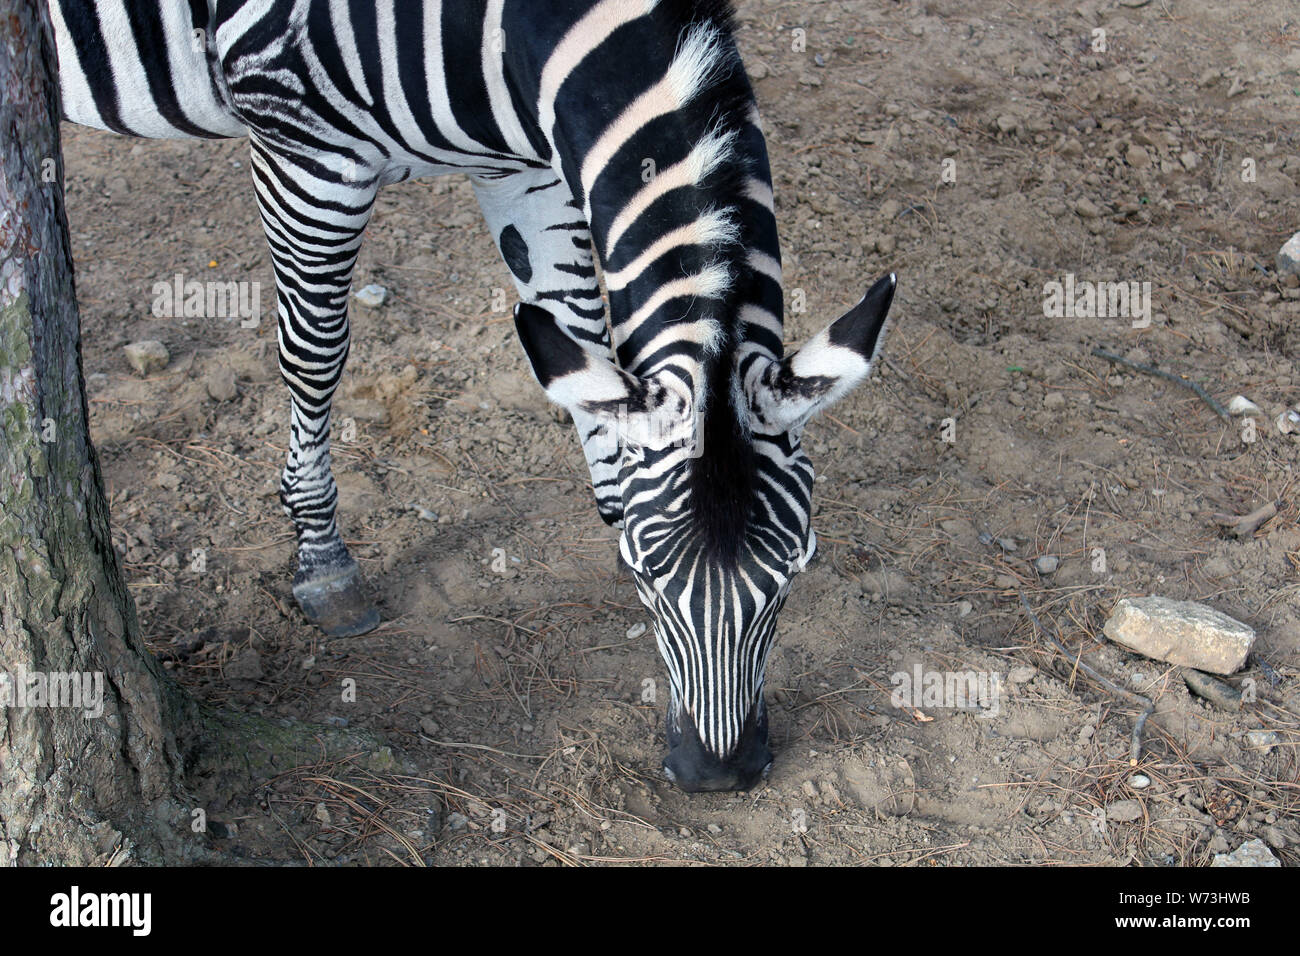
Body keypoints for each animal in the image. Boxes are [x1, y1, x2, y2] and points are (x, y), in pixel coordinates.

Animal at [48, 0, 894, 790]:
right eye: (646, 576)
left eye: (797, 572)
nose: (719, 776)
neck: (507, 33)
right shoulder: (303, 144)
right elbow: (315, 351)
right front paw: (322, 558)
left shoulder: (526, 168)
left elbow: (575, 330)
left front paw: (611, 496)